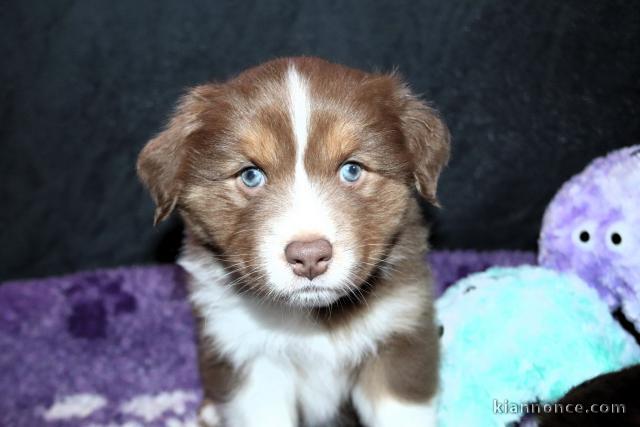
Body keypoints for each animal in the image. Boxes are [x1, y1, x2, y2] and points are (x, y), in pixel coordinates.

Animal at [137, 57, 450, 427]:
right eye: (251, 175)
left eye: (352, 170)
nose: (310, 256)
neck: (313, 318)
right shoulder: (249, 355)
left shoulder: (399, 333)